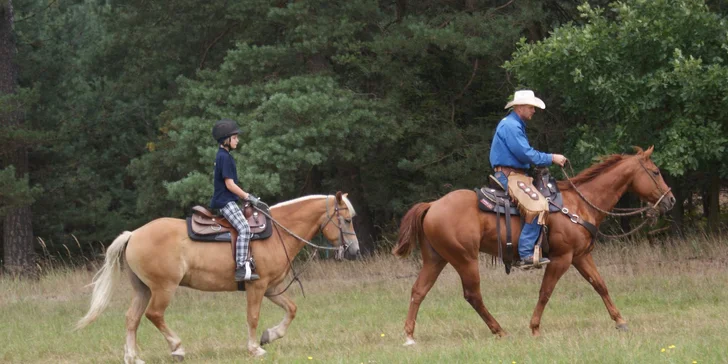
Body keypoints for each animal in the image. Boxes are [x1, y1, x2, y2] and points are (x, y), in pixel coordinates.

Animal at [77, 192, 362, 362]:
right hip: (163, 287)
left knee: (132, 319)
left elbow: (291, 309)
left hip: (143, 289)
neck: (278, 232)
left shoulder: (272, 288)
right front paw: (255, 348)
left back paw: (133, 357)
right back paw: (177, 347)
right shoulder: (257, 287)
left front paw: (270, 335)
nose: (354, 250)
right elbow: (252, 317)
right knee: (154, 315)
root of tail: (134, 234)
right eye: (347, 220)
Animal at [392, 147, 676, 344]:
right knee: (473, 295)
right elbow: (545, 292)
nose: (671, 200)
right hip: (465, 260)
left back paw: (409, 335)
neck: (579, 203)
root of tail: (432, 205)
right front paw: (535, 327)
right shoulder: (562, 258)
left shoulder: (581, 256)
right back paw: (500, 330)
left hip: (436, 259)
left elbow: (600, 285)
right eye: (655, 172)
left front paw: (620, 321)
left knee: (419, 291)